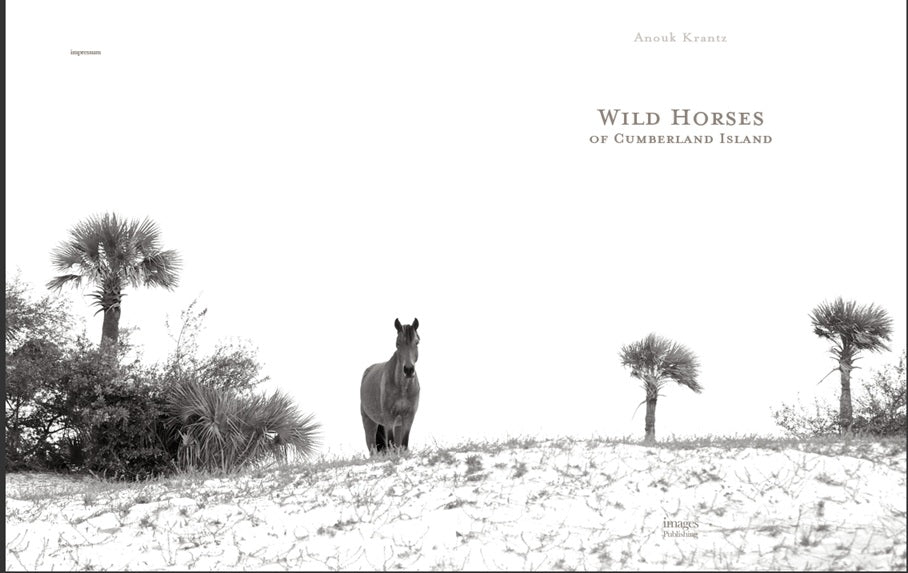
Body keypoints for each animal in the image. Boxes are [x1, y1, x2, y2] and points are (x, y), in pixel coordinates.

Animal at [360, 318, 420, 454]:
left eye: (417, 342)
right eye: (397, 344)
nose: (408, 370)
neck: (403, 388)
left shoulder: (408, 418)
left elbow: (403, 445)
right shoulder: (389, 418)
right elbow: (391, 446)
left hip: (397, 425)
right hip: (370, 423)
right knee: (372, 449)